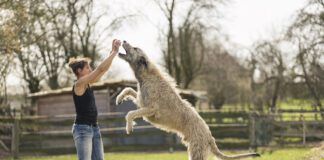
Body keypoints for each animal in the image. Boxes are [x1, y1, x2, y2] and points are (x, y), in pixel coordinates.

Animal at [116, 41, 260, 160]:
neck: (147, 75)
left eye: (135, 48)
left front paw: (129, 127)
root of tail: (209, 136)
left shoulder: (151, 109)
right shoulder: (142, 101)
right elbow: (129, 90)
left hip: (197, 151)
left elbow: (130, 113)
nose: (123, 40)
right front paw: (119, 98)